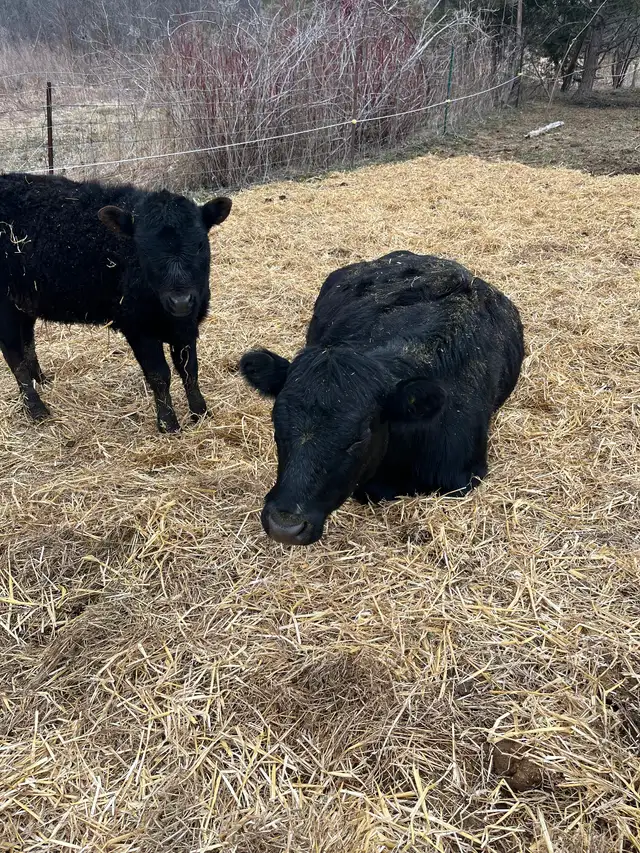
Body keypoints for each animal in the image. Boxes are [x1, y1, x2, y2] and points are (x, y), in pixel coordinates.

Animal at [0, 172, 231, 432]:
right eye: (143, 249)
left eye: (201, 244)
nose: (180, 301)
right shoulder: (138, 327)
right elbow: (159, 375)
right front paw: (168, 424)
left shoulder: (186, 325)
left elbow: (190, 370)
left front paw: (201, 414)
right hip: (5, 305)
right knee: (13, 354)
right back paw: (36, 408)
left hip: (24, 302)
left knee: (27, 341)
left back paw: (41, 380)